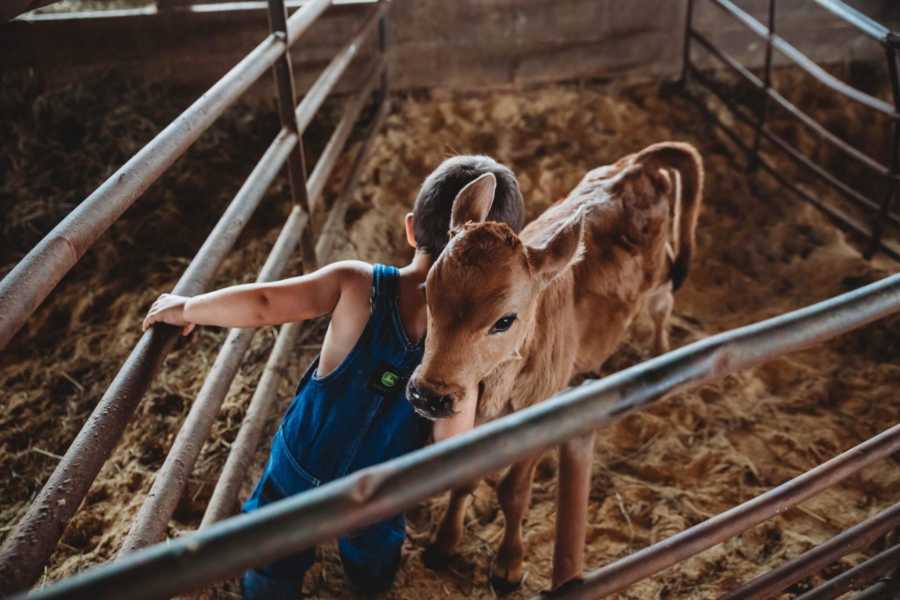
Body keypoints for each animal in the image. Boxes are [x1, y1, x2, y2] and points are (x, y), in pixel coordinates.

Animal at [406, 143, 704, 592]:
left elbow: (513, 492)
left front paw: (508, 565)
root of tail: (639, 163)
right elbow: (465, 480)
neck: (502, 387)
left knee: (661, 307)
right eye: (428, 293)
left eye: (504, 320)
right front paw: (443, 544)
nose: (430, 394)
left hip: (659, 277)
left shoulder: (541, 415)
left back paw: (658, 352)